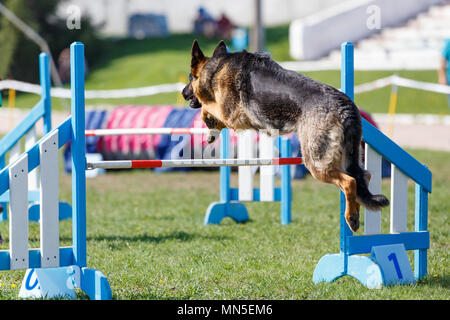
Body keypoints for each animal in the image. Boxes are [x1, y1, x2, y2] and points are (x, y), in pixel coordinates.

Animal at [181, 40, 388, 231]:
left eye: (190, 77)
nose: (182, 92)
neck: (217, 68)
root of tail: (345, 106)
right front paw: (212, 130)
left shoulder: (230, 113)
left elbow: (207, 106)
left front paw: (208, 122)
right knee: (364, 176)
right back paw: (357, 210)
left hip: (316, 163)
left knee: (350, 181)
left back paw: (351, 217)